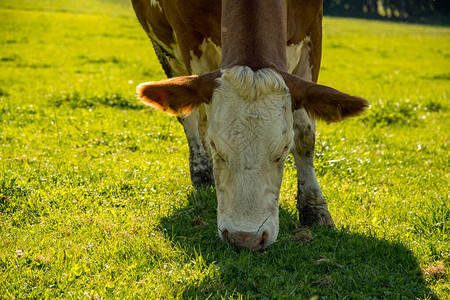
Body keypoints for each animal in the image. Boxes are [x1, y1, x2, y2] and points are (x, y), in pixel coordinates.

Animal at [131, 0, 370, 250]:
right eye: (217, 147)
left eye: (284, 148)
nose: (245, 239)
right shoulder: (190, 38)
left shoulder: (312, 33)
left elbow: (305, 135)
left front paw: (314, 207)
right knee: (191, 117)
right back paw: (201, 170)